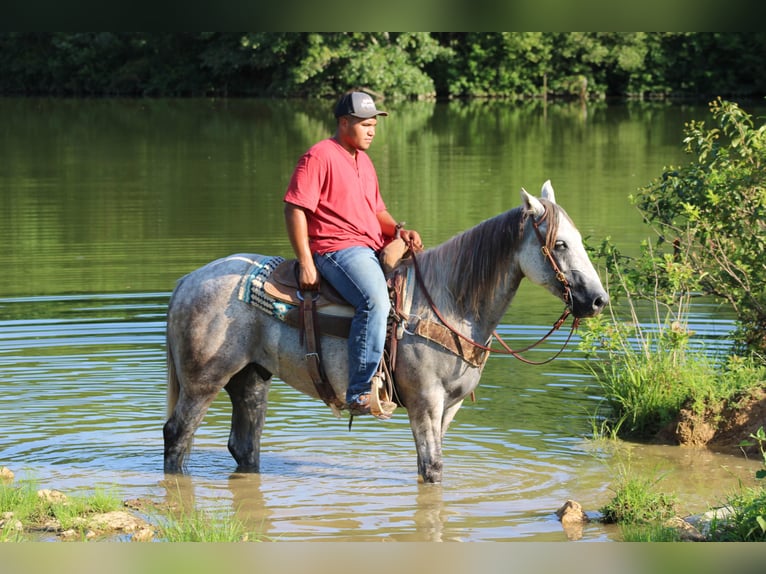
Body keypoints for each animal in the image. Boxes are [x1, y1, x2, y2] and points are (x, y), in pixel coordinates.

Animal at [165, 182, 608, 484]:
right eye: (561, 244)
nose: (598, 300)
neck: (448, 302)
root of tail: (188, 280)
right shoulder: (425, 403)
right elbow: (432, 467)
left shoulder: (449, 408)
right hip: (203, 382)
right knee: (177, 434)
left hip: (251, 379)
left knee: (244, 445)